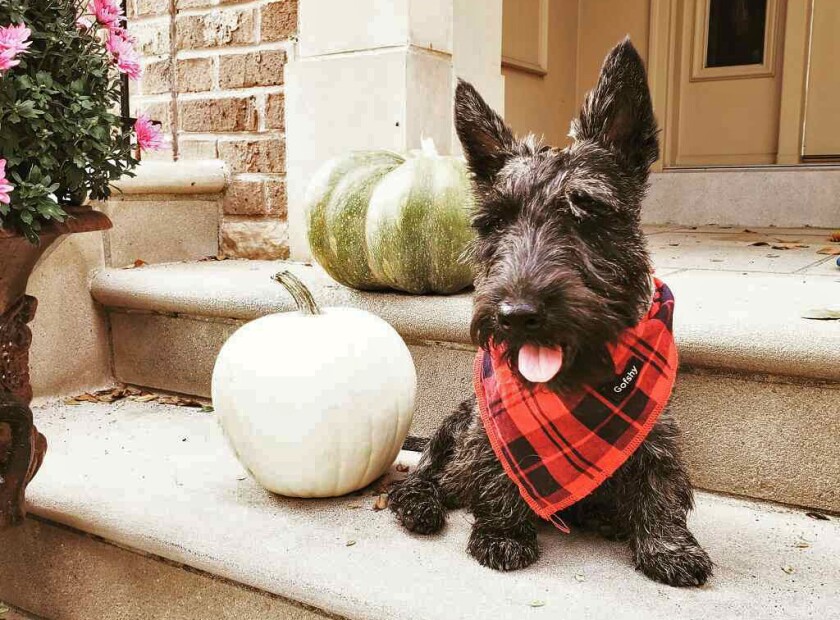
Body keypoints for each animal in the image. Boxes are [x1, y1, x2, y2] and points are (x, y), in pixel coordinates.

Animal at [390, 38, 712, 588]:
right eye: (495, 222)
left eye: (586, 212)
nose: (516, 314)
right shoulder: (488, 432)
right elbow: (498, 478)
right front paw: (503, 534)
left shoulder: (656, 432)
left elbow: (661, 485)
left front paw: (669, 547)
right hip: (458, 420)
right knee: (430, 469)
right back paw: (417, 502)